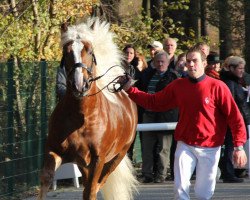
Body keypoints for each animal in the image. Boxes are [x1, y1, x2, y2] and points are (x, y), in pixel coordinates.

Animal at [38, 17, 138, 200]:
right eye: (66, 51)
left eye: (90, 51)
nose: (79, 85)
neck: (82, 118)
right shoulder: (54, 151)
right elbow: (46, 179)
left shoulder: (98, 160)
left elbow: (90, 190)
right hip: (84, 164)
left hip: (116, 157)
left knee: (98, 185)